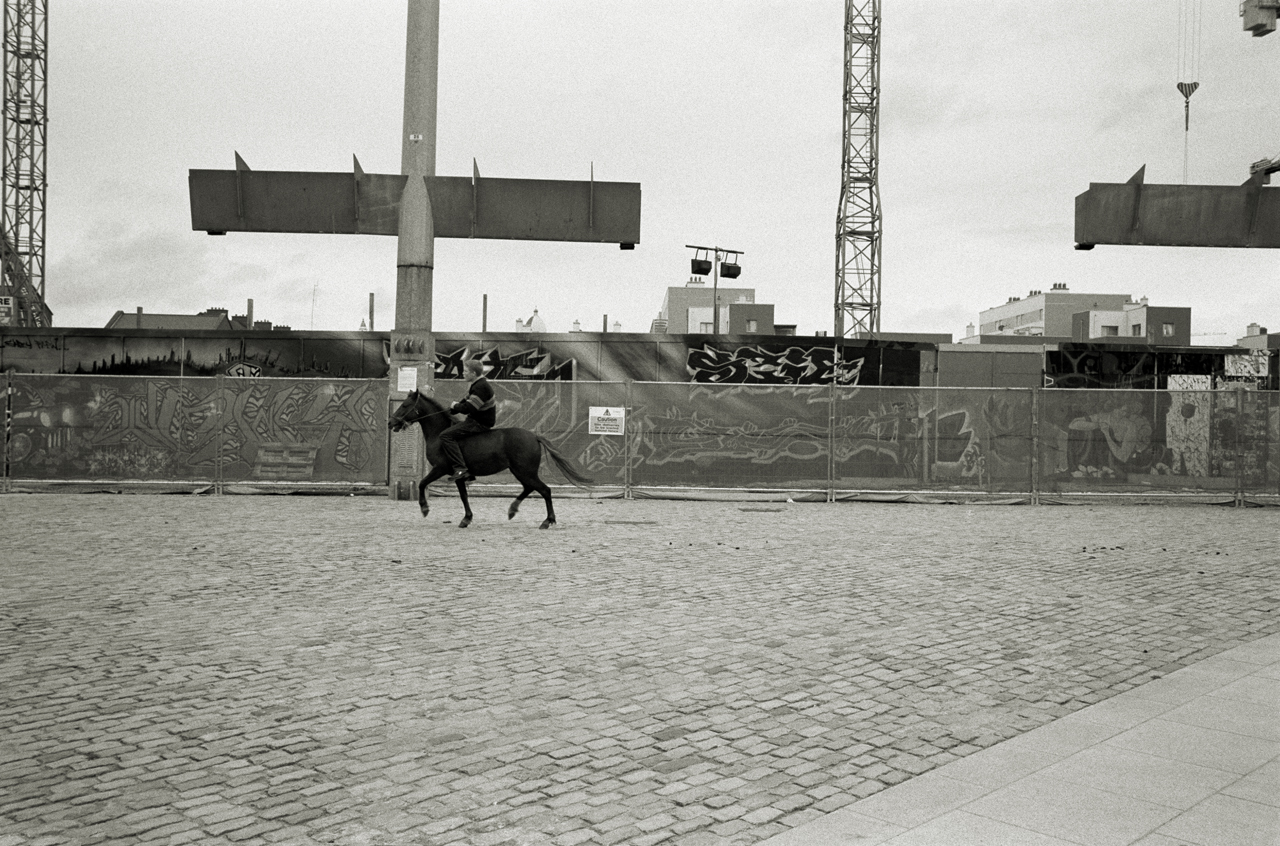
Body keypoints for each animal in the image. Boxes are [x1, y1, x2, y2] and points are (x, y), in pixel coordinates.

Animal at [386, 389, 596, 527]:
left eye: (405, 405)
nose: (390, 422)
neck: (440, 434)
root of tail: (533, 436)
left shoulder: (440, 469)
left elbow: (422, 483)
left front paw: (424, 508)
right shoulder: (459, 475)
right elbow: (463, 496)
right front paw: (467, 518)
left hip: (524, 471)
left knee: (544, 490)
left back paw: (547, 520)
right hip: (520, 471)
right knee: (530, 488)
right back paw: (512, 510)